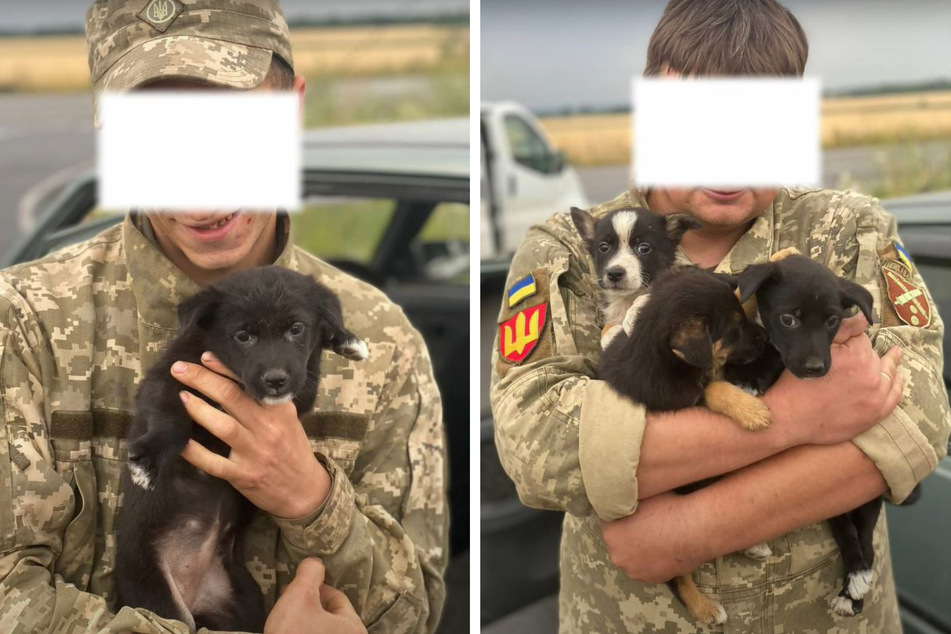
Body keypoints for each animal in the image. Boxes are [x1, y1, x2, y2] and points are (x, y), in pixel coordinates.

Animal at [117, 266, 370, 632]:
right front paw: (149, 461)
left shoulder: (300, 388)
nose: (276, 380)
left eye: (296, 329)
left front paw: (346, 340)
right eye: (243, 336)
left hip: (241, 601)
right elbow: (170, 420)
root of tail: (194, 596)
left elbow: (312, 364)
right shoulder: (168, 380)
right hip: (156, 599)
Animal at [604, 264, 772, 624]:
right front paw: (751, 411)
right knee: (678, 575)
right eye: (734, 328)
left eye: (743, 314)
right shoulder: (683, 400)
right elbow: (712, 388)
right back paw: (703, 606)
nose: (765, 338)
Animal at [732, 249, 920, 616]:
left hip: (863, 496)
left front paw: (752, 375)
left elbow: (777, 356)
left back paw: (854, 587)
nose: (815, 368)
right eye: (788, 319)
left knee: (864, 541)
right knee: (845, 530)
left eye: (832, 321)